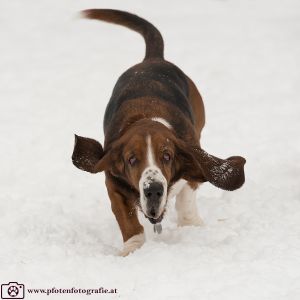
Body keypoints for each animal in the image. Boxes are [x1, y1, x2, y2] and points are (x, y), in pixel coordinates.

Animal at [72, 9, 246, 255]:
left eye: (167, 156)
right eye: (131, 159)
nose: (153, 190)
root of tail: (153, 59)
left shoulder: (191, 157)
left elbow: (186, 196)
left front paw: (190, 225)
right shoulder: (113, 183)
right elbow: (128, 221)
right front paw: (132, 249)